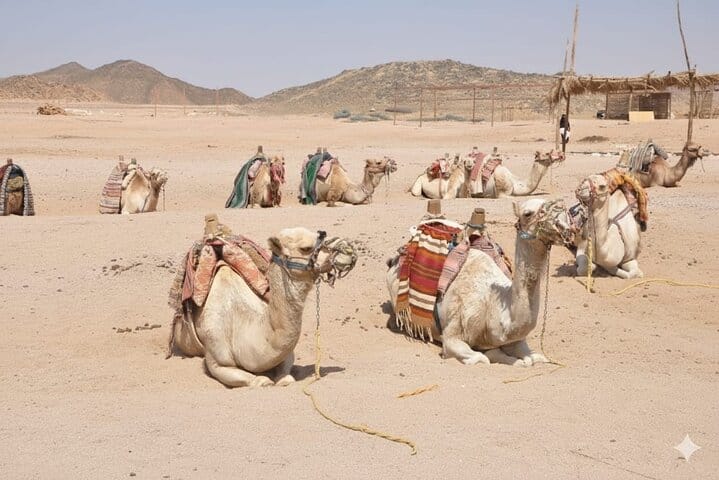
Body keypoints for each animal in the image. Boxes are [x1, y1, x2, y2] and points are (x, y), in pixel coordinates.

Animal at [169, 227, 357, 387]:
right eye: (305, 248)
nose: (348, 250)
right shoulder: (218, 361)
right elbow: (260, 381)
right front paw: (264, 380)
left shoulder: (285, 353)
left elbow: (286, 377)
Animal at [386, 198, 575, 366]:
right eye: (527, 213)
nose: (562, 217)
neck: (493, 306)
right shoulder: (453, 336)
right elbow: (484, 358)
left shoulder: (517, 340)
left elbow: (533, 358)